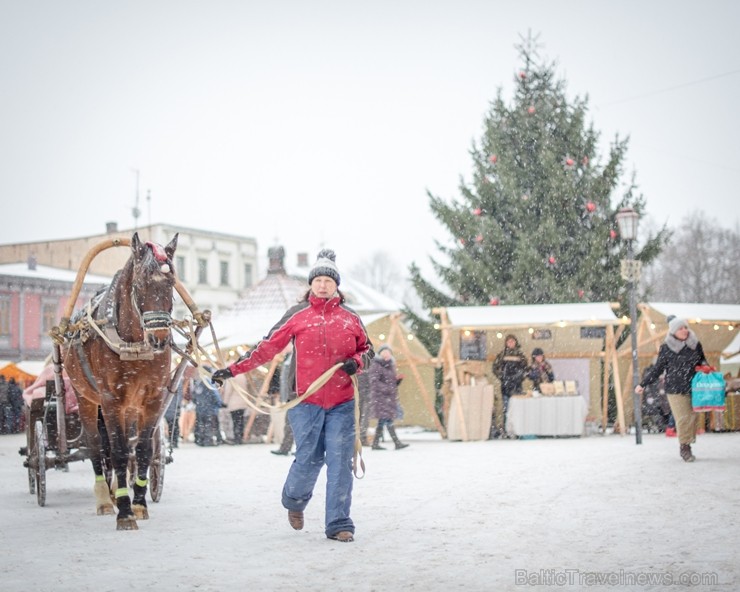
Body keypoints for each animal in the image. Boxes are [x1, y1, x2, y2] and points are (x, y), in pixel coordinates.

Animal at [62, 232, 178, 532]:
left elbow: (143, 450)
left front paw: (138, 504)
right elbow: (118, 451)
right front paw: (125, 512)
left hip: (130, 408)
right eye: (140, 283)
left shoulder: (152, 400)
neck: (135, 343)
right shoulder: (111, 400)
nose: (160, 338)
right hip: (87, 399)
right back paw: (105, 498)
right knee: (96, 445)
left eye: (171, 283)